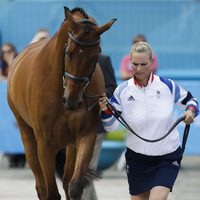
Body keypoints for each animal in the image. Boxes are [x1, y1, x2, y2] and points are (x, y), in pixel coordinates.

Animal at [7, 6, 116, 200]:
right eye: (68, 52)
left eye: (96, 55)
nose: (73, 100)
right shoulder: (45, 143)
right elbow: (51, 192)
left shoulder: (85, 136)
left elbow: (74, 186)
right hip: (27, 134)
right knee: (41, 186)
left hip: (70, 145)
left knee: (65, 182)